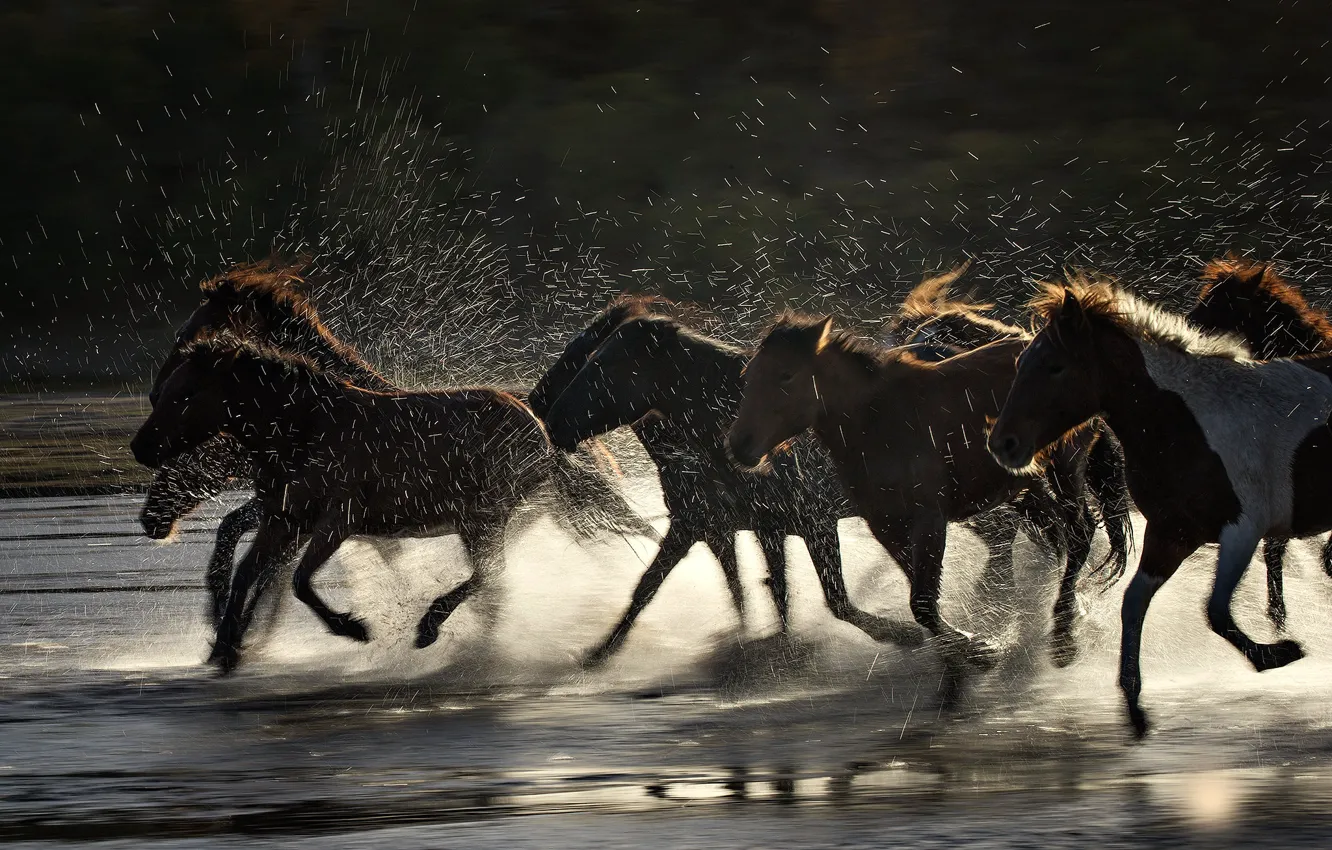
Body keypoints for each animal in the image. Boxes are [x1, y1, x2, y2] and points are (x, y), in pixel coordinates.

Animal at [132, 340, 643, 673]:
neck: (300, 433)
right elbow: (248, 573)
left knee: (492, 575)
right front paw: (224, 649)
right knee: (495, 581)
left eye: (185, 393)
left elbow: (298, 581)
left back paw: (430, 628)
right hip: (481, 520)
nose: (141, 447)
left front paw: (354, 627)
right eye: (162, 391)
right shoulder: (286, 519)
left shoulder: (339, 519)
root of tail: (540, 427)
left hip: (485, 515)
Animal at [535, 308, 928, 664]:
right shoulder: (714, 527)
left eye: (604, 365)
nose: (549, 419)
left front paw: (902, 634)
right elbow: (652, 587)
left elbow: (830, 600)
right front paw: (597, 654)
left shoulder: (810, 522)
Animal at [725, 314, 1096, 672]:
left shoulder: (928, 519)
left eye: (786, 375)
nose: (739, 445)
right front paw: (963, 647)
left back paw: (1064, 635)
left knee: (1079, 531)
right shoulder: (885, 526)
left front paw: (975, 649)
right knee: (1056, 531)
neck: (879, 423)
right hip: (1024, 486)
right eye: (748, 374)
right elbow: (919, 598)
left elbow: (921, 601)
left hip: (1065, 464)